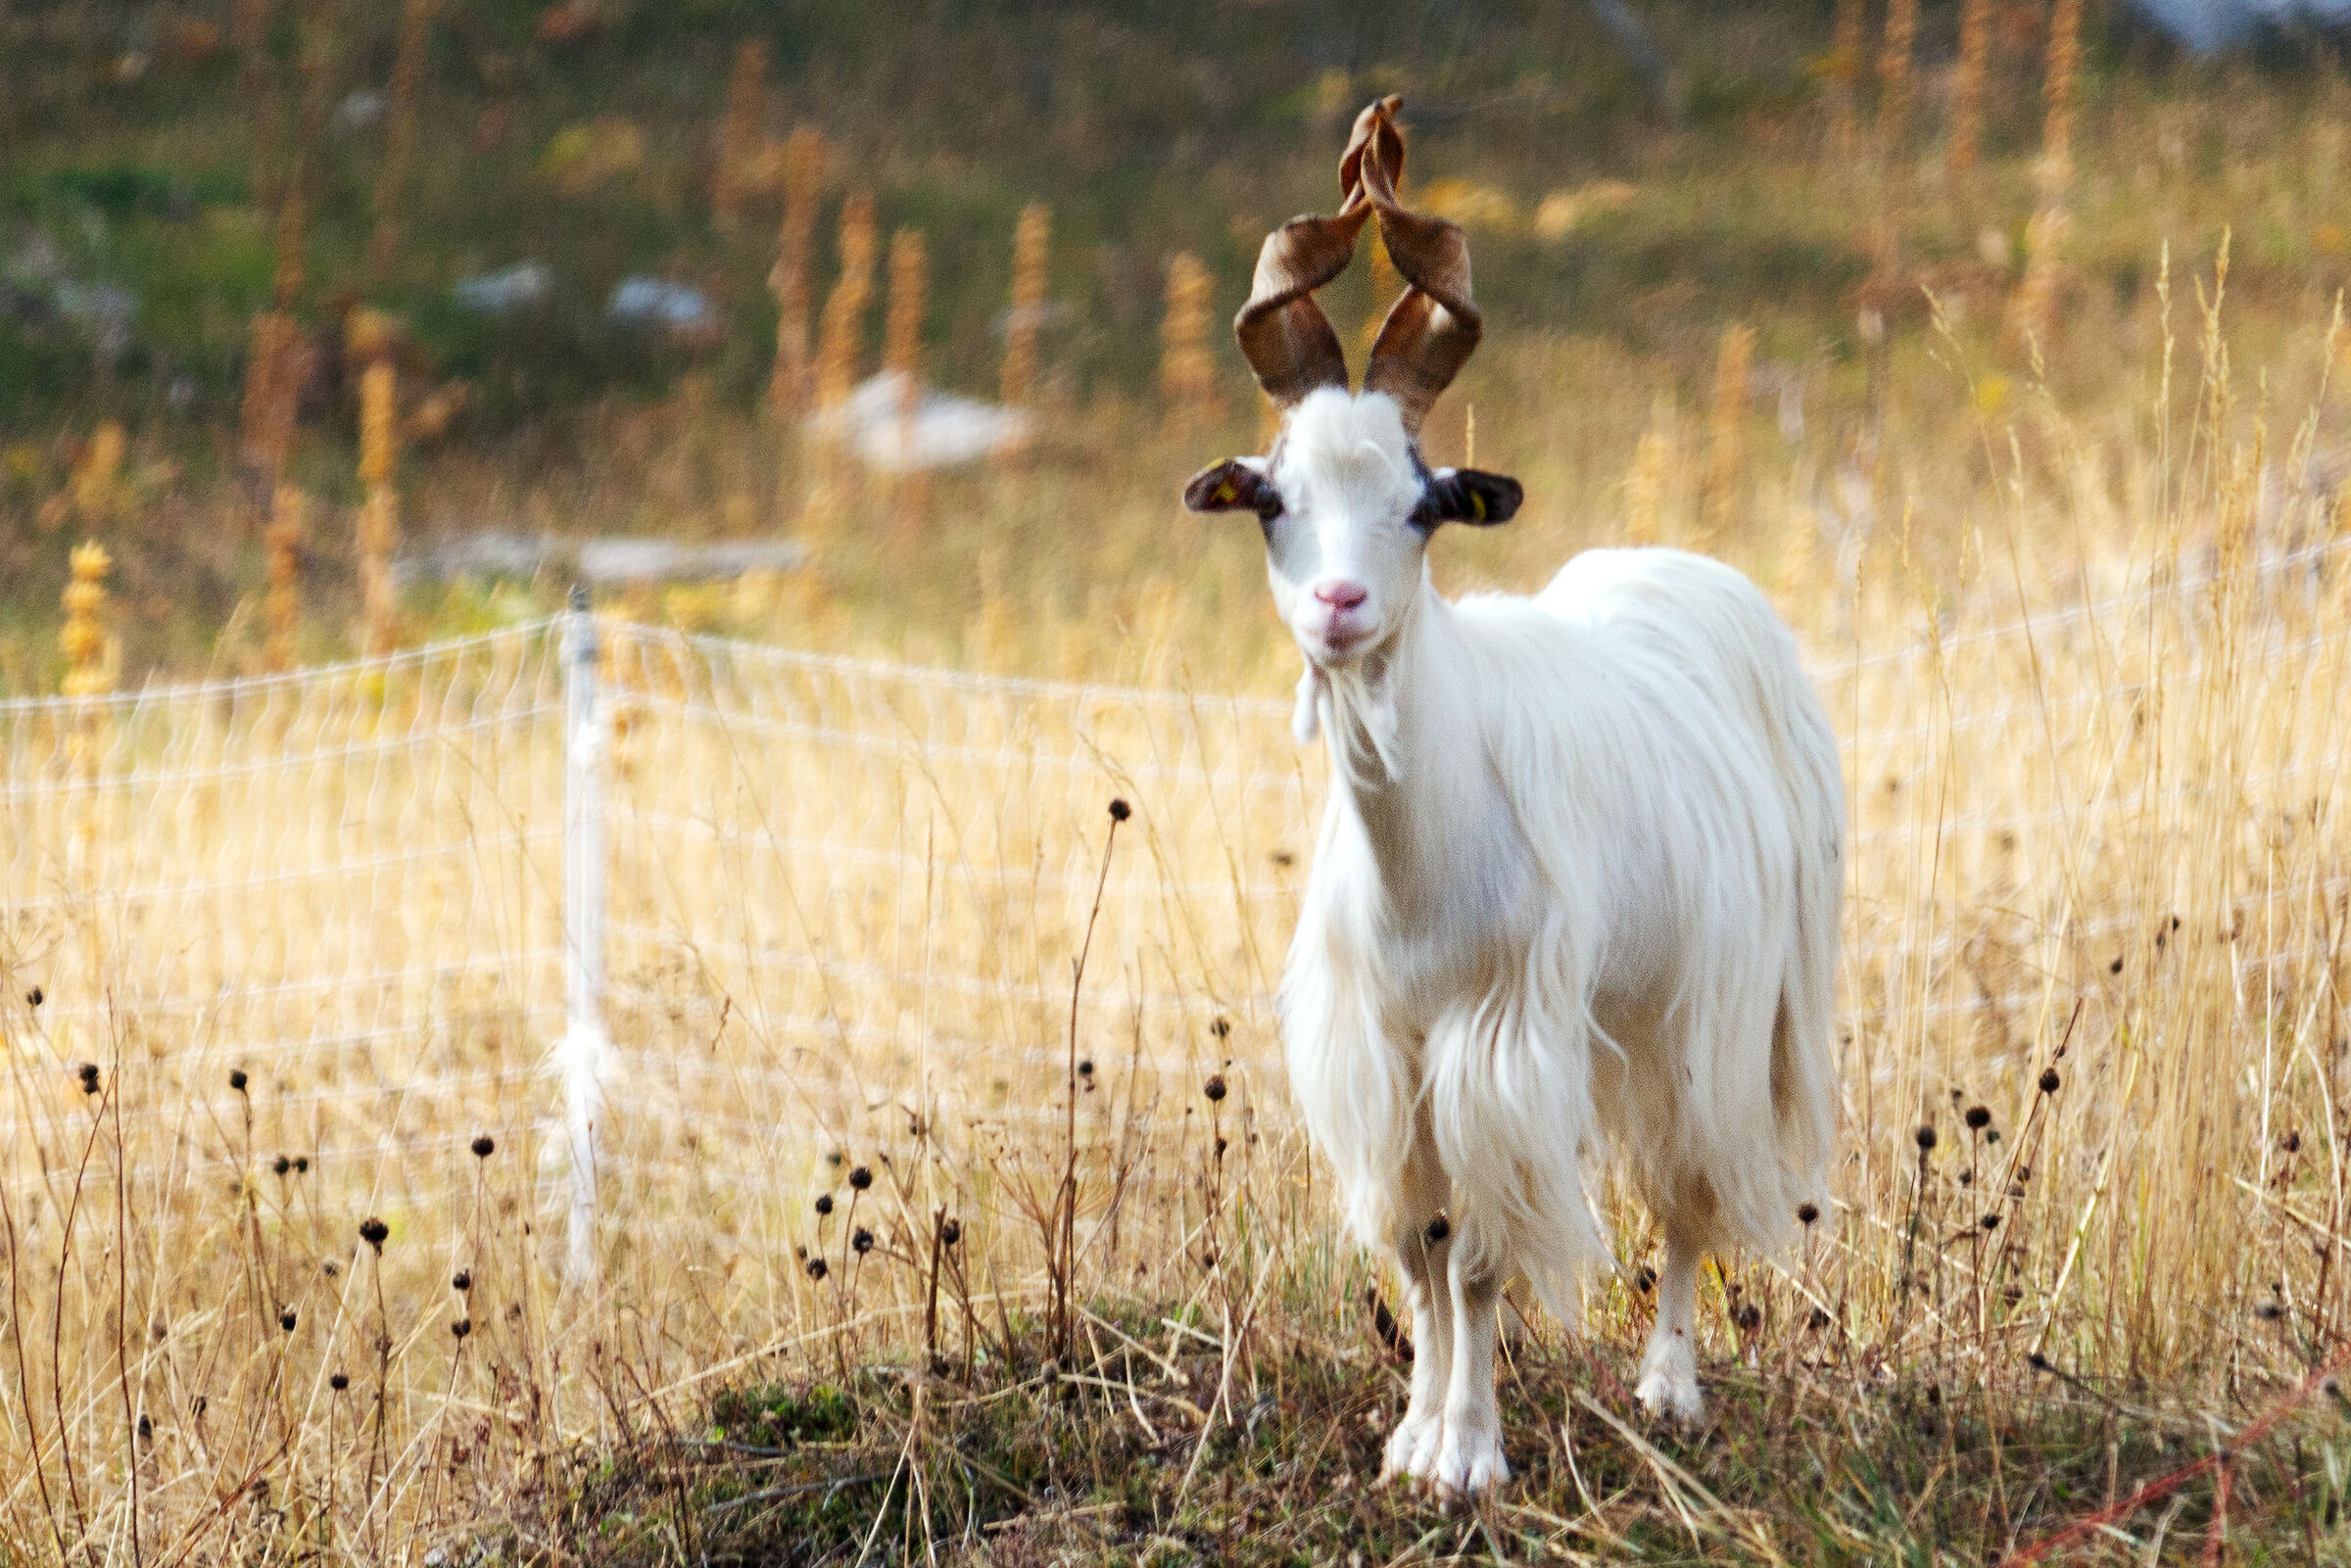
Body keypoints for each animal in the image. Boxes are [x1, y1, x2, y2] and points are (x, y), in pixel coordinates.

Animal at [1182, 98, 1842, 1497]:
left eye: (1423, 505)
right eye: (1274, 498)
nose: (1339, 605)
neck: (1423, 861)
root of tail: (1688, 576)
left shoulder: (1499, 1043)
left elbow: (1480, 1256)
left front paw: (1472, 1456)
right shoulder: (1389, 1057)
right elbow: (1420, 1251)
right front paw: (1412, 1435)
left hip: (1708, 1009)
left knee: (1687, 1192)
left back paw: (1669, 1385)